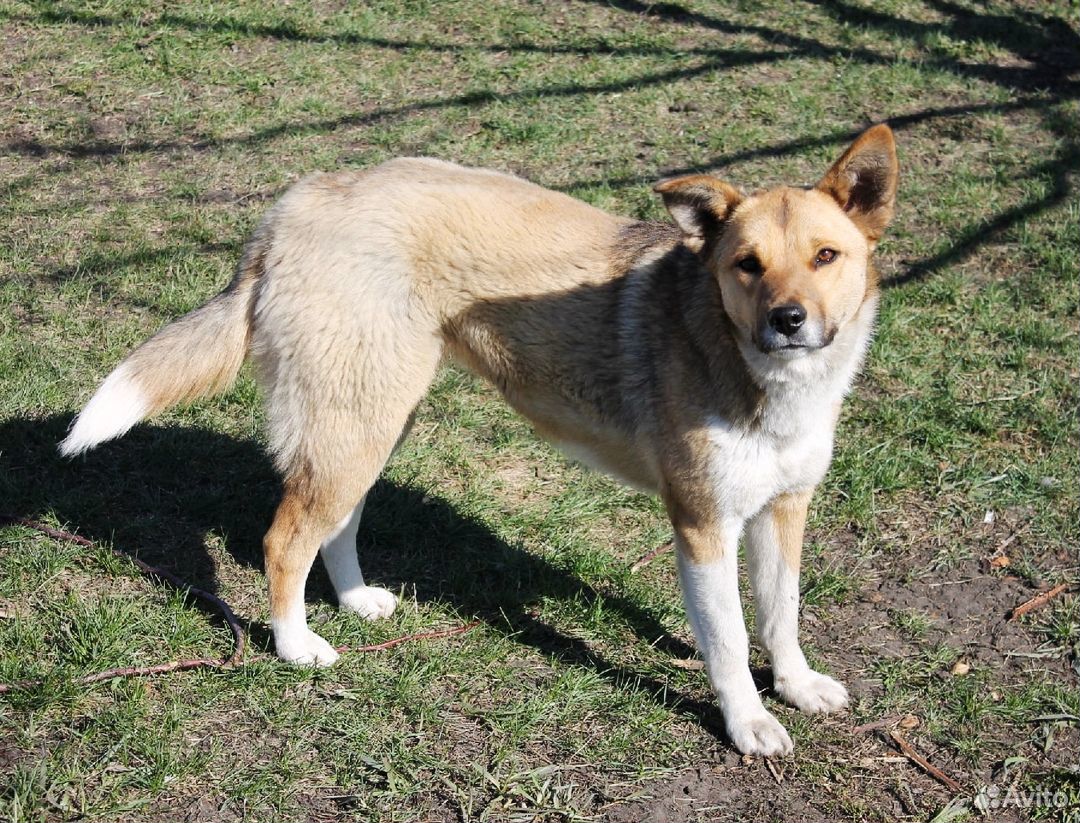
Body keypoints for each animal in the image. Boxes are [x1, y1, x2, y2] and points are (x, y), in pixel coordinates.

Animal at [63, 123, 898, 756]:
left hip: (375, 420)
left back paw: (356, 600)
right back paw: (297, 645)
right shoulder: (701, 525)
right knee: (284, 537)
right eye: (746, 264)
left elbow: (781, 613)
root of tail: (299, 201)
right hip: (353, 425)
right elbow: (727, 641)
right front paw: (749, 720)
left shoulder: (784, 508)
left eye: (826, 255)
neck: (748, 363)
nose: (788, 320)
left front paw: (796, 685)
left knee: (337, 523)